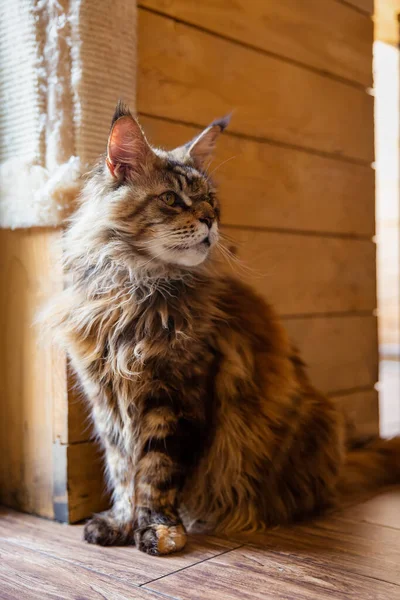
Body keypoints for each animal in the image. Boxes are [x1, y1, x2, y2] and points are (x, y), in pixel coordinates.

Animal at [48, 104, 400, 556]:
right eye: (170, 199)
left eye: (211, 202)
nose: (209, 221)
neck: (137, 290)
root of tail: (340, 461)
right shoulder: (106, 397)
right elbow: (123, 470)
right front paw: (120, 523)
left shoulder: (176, 395)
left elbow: (155, 473)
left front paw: (159, 529)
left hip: (311, 421)